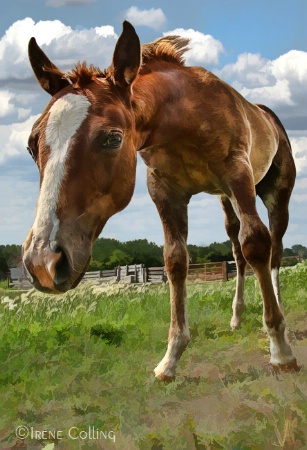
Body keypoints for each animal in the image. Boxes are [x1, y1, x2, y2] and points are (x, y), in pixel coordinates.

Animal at [23, 21, 300, 380]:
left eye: (112, 138)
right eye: (32, 144)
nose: (43, 262)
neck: (182, 116)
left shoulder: (238, 174)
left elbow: (256, 243)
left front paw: (280, 350)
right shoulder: (165, 191)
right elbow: (175, 260)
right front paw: (170, 359)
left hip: (274, 193)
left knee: (274, 248)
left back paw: (281, 319)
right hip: (226, 201)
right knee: (237, 253)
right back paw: (236, 317)